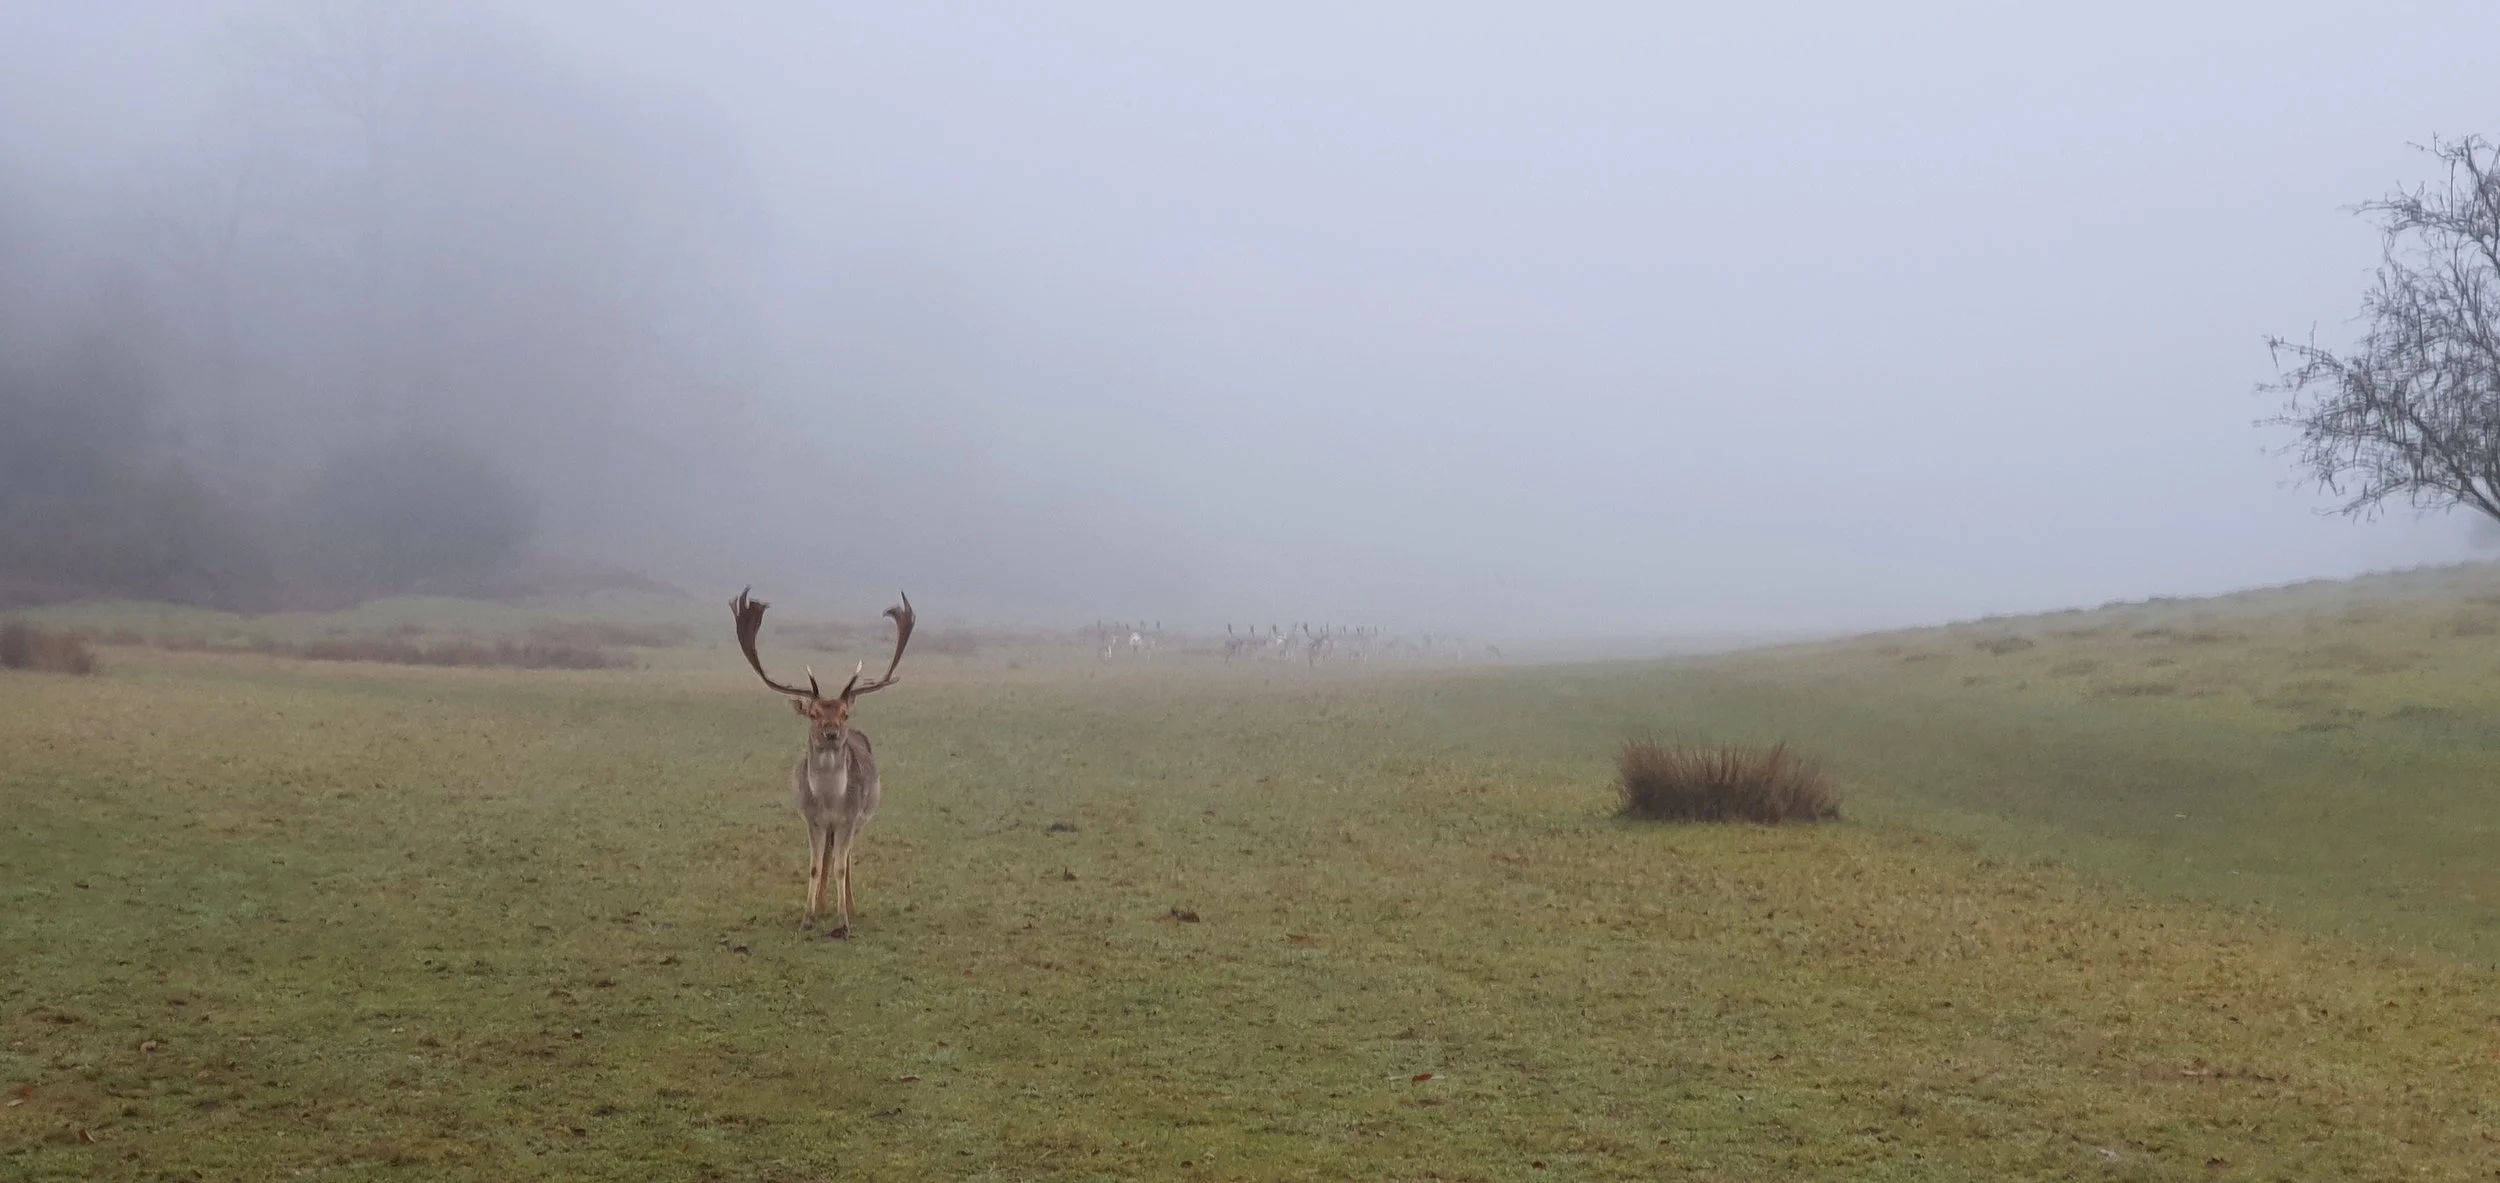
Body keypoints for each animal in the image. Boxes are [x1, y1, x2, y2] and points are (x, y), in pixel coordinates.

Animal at [731, 587, 914, 939]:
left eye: (845, 713)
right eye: (814, 713)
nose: (831, 732)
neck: (829, 799)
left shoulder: (848, 818)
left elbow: (842, 866)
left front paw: (843, 922)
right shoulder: (811, 818)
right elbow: (816, 866)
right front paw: (808, 916)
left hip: (859, 819)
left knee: (846, 857)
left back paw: (849, 907)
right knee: (829, 855)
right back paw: (824, 904)